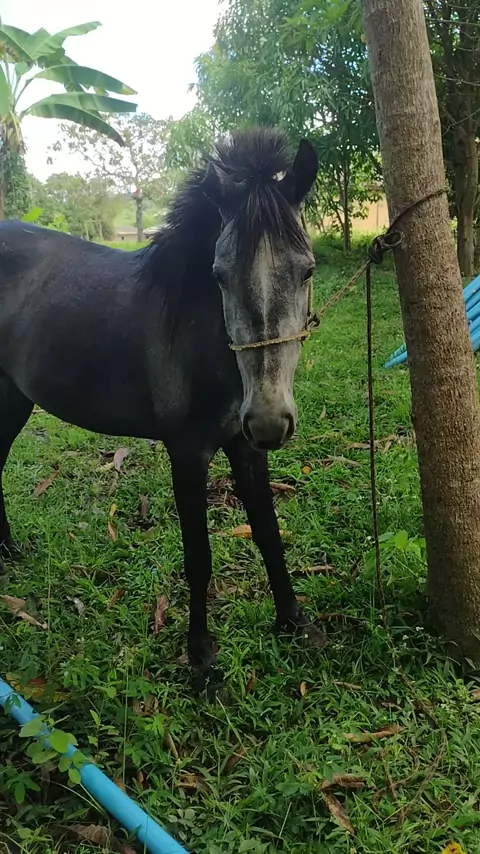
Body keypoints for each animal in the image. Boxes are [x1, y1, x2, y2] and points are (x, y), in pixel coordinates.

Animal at [0, 126, 324, 692]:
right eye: (219, 275)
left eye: (306, 270)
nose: (269, 420)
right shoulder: (188, 453)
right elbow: (198, 556)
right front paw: (200, 656)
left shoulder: (244, 446)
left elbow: (268, 533)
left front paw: (292, 622)